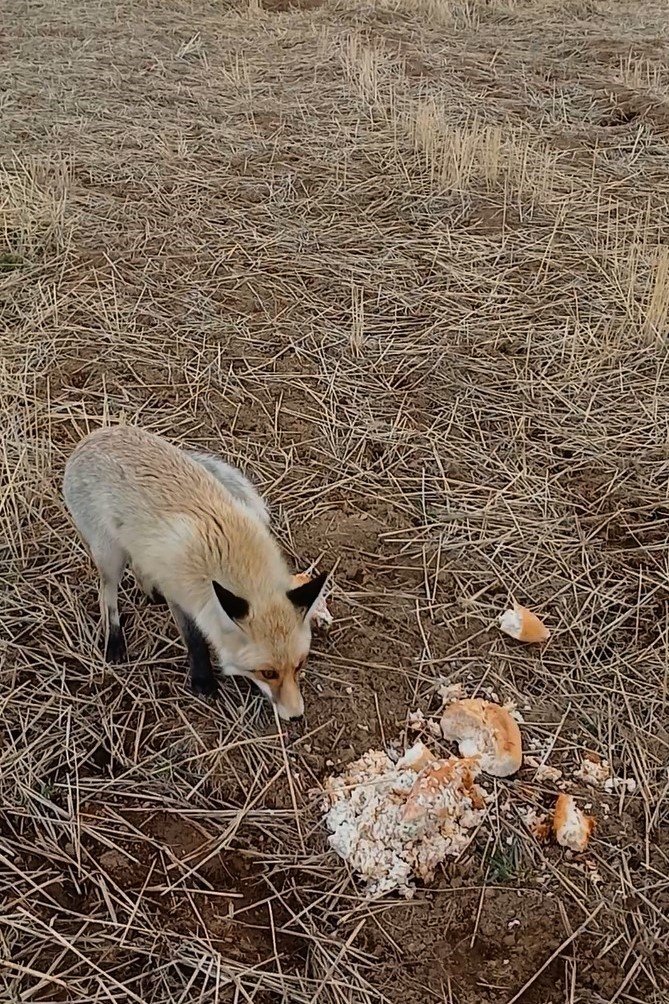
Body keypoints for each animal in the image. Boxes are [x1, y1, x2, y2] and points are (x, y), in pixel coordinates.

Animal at [61, 427, 327, 718]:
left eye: (299, 664)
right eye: (267, 672)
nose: (296, 715)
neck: (229, 554)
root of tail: (97, 434)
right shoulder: (181, 595)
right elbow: (195, 640)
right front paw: (203, 681)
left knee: (139, 565)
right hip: (109, 555)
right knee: (106, 594)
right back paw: (115, 640)